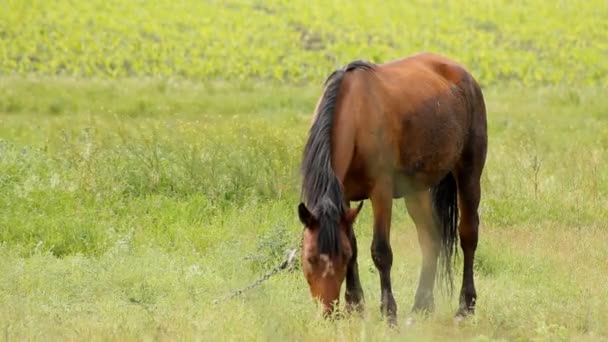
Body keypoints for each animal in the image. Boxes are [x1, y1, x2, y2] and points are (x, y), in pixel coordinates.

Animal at [296, 52, 486, 324]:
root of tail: (464, 75)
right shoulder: (344, 198)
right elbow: (354, 245)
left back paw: (465, 307)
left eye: (340, 258)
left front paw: (388, 312)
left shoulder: (381, 193)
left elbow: (381, 252)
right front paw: (355, 305)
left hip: (469, 173)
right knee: (431, 238)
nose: (329, 313)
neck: (354, 115)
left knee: (468, 235)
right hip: (416, 190)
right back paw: (421, 305)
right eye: (310, 258)